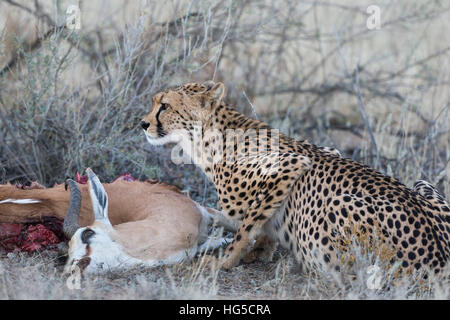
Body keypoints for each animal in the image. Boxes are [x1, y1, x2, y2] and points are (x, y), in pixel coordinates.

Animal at [139, 81, 448, 274]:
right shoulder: (328, 150)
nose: (142, 124)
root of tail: (438, 258)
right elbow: (260, 224)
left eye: (164, 105)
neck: (208, 139)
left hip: (337, 206)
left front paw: (224, 262)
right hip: (422, 184)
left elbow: (245, 227)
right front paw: (261, 250)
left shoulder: (291, 164)